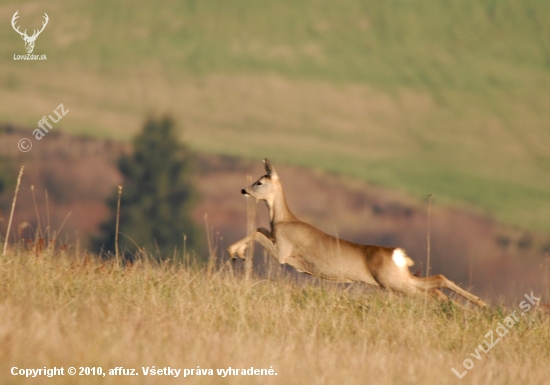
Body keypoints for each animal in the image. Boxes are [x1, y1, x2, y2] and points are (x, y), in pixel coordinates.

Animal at [229, 159, 488, 308]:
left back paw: (472, 309)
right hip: (396, 279)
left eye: (260, 181)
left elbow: (257, 232)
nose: (242, 189)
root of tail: (398, 254)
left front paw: (235, 253)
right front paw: (238, 253)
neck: (283, 220)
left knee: (434, 288)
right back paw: (473, 307)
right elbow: (260, 229)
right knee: (437, 284)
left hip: (392, 281)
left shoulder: (283, 251)